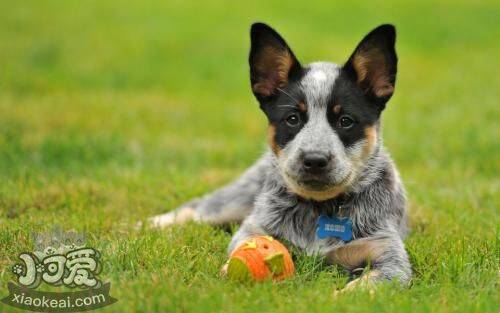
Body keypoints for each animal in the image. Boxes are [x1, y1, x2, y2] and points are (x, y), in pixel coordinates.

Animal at [150, 23, 412, 288]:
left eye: (345, 121)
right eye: (293, 118)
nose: (314, 160)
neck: (319, 209)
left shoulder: (387, 253)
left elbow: (370, 284)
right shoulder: (254, 227)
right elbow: (239, 250)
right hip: (237, 199)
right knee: (196, 209)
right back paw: (150, 224)